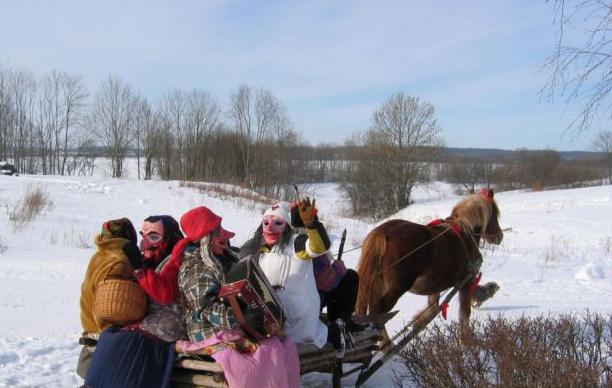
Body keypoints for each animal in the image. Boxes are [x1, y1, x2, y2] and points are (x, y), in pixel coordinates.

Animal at [354, 189, 502, 334]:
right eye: (495, 213)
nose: (499, 236)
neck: (466, 231)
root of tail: (382, 234)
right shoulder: (466, 283)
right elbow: (464, 315)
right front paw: (465, 339)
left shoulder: (434, 287)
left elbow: (431, 310)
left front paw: (416, 324)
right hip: (397, 288)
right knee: (378, 313)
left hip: (377, 286)